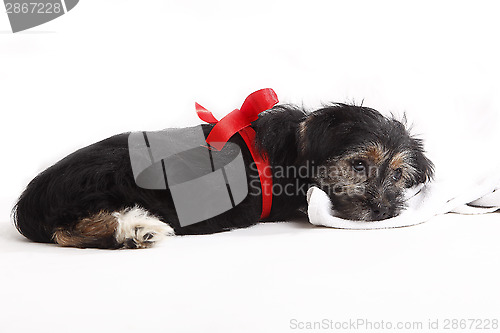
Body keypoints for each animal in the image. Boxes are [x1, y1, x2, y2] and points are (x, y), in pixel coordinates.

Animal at [11, 102, 434, 248]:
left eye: (398, 175)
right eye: (358, 165)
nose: (383, 211)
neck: (294, 150)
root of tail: (30, 201)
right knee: (69, 231)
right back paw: (138, 228)